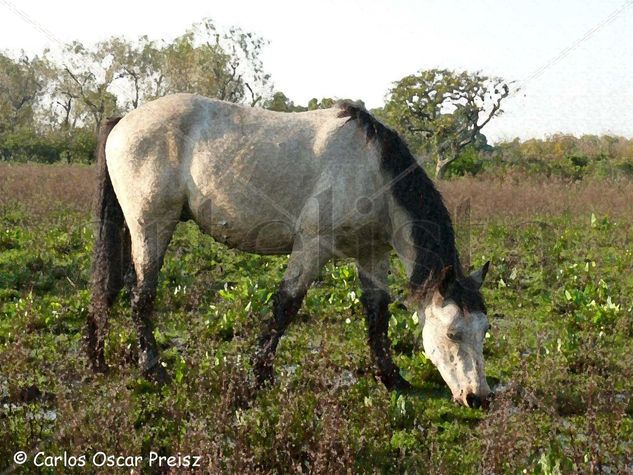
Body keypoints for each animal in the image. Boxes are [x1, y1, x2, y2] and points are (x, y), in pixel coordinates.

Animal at [87, 93, 494, 410]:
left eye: (484, 330)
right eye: (453, 333)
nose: (478, 398)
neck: (372, 170)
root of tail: (124, 120)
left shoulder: (371, 253)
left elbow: (376, 313)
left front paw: (392, 378)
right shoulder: (312, 246)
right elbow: (286, 305)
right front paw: (260, 375)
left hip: (128, 226)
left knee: (107, 286)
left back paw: (96, 360)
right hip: (152, 227)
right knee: (141, 295)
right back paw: (154, 370)